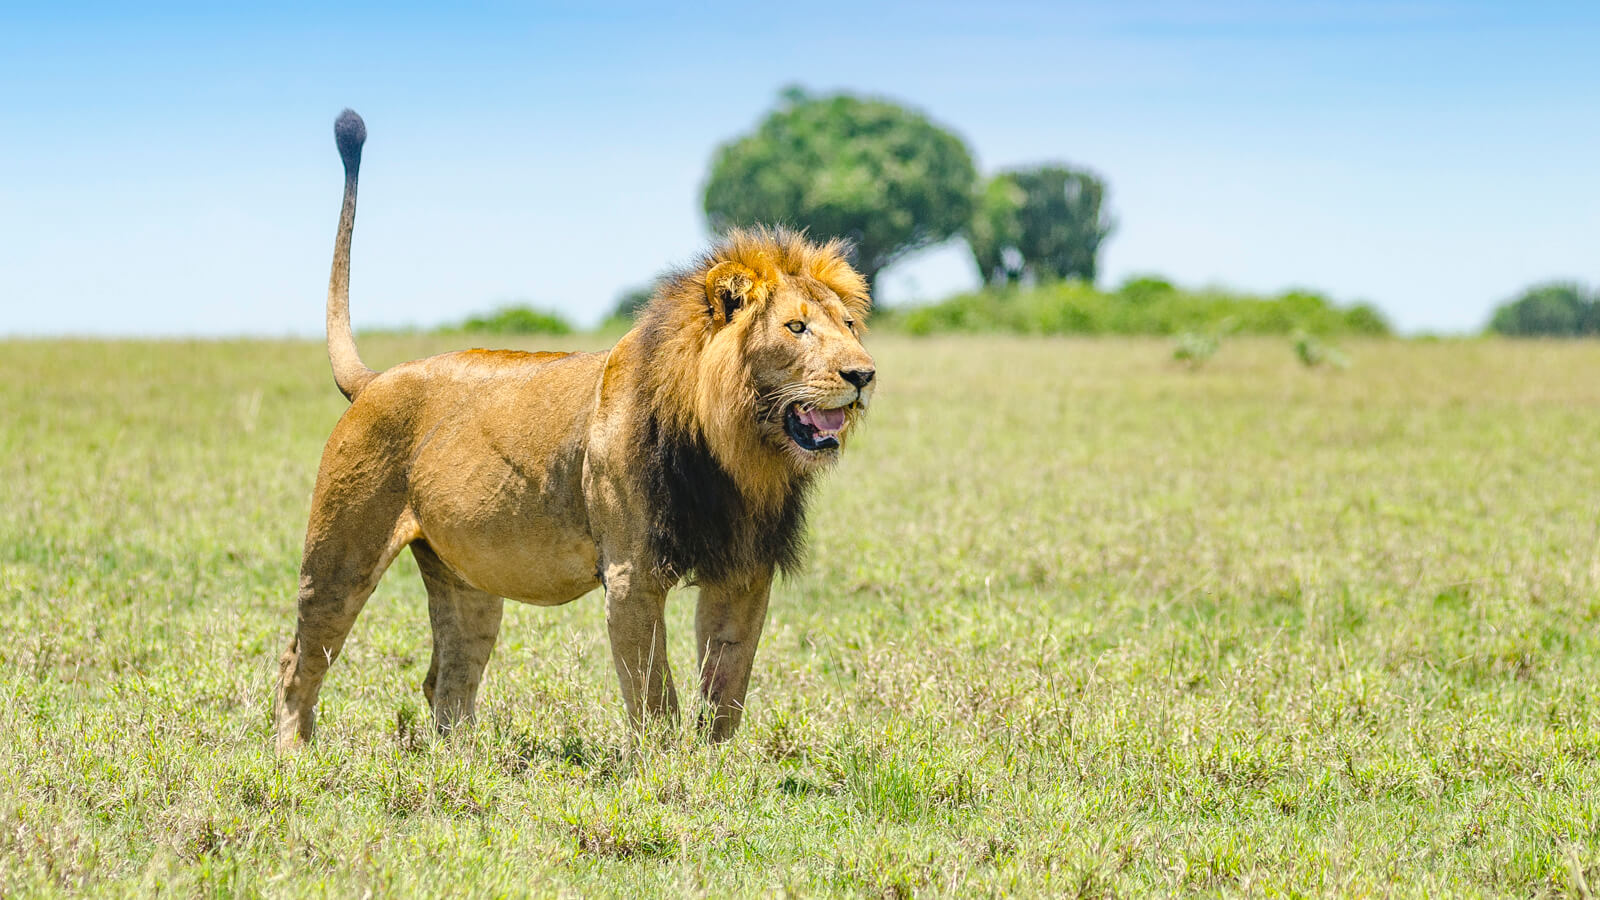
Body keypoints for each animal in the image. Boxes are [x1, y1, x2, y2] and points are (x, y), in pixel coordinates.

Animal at [273, 110, 876, 750]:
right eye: (795, 328)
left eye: (848, 324)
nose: (864, 374)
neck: (734, 453)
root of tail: (374, 379)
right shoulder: (632, 575)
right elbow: (655, 696)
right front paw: (668, 769)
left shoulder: (743, 571)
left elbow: (726, 690)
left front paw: (719, 765)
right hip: (339, 554)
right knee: (300, 661)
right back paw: (294, 754)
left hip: (465, 575)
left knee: (448, 678)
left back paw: (465, 760)